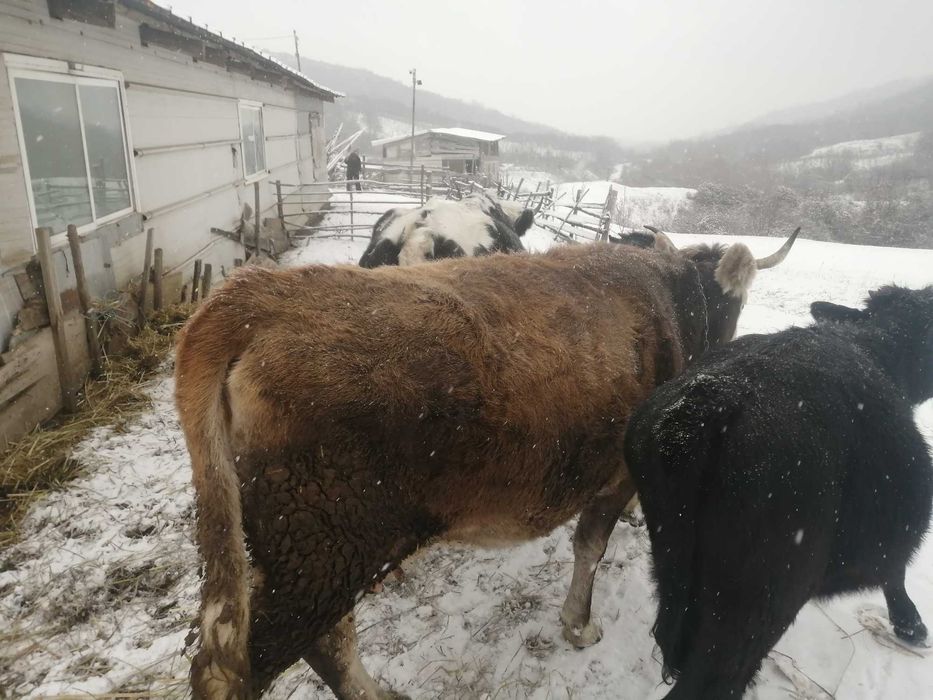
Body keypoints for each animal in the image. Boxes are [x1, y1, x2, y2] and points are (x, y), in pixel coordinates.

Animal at [174, 230, 797, 699]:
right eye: (736, 302)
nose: (724, 345)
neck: (667, 297)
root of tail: (259, 295)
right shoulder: (614, 474)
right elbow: (590, 548)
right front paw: (578, 623)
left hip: (294, 543)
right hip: (325, 541)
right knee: (279, 655)